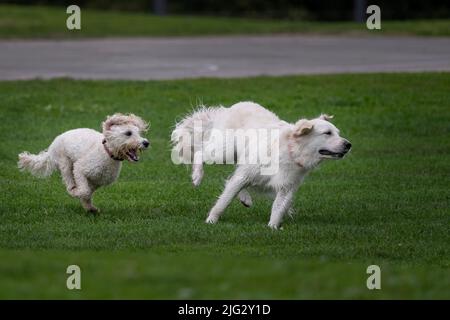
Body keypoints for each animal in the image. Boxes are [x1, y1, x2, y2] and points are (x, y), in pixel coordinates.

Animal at [18, 113, 149, 212]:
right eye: (128, 133)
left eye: (139, 133)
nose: (146, 143)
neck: (107, 154)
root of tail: (52, 146)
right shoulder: (80, 169)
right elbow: (84, 191)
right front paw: (76, 193)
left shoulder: (97, 182)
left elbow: (88, 193)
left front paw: (90, 208)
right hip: (65, 163)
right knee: (69, 181)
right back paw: (73, 189)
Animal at [172, 101, 352, 229]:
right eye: (327, 133)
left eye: (337, 133)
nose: (349, 145)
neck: (290, 151)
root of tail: (230, 108)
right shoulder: (245, 174)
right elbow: (224, 201)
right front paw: (211, 221)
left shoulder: (287, 187)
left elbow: (278, 208)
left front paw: (272, 228)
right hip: (224, 152)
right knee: (201, 154)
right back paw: (197, 176)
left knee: (230, 176)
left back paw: (245, 198)